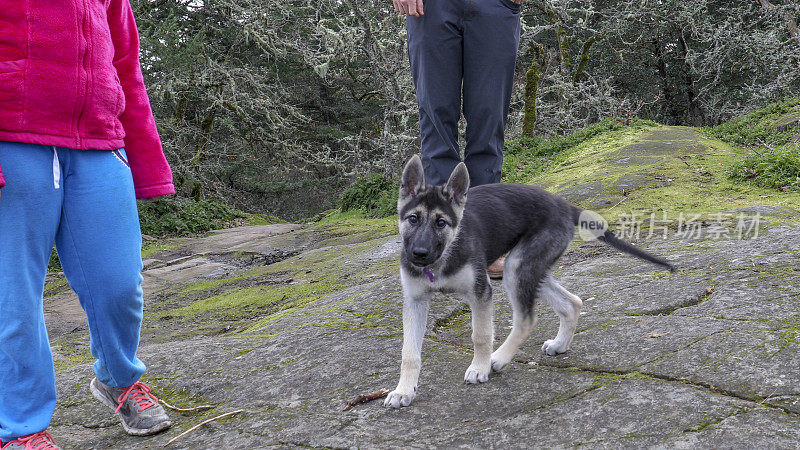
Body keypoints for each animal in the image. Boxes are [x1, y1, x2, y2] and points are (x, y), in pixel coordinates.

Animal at [384, 155, 672, 408]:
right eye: (413, 219)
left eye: (441, 223)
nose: (419, 254)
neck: (442, 258)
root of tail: (564, 205)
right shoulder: (415, 301)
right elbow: (409, 353)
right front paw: (403, 391)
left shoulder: (480, 293)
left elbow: (481, 335)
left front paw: (479, 367)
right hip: (529, 268)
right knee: (572, 303)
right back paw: (560, 344)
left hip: (516, 267)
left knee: (526, 319)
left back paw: (498, 358)